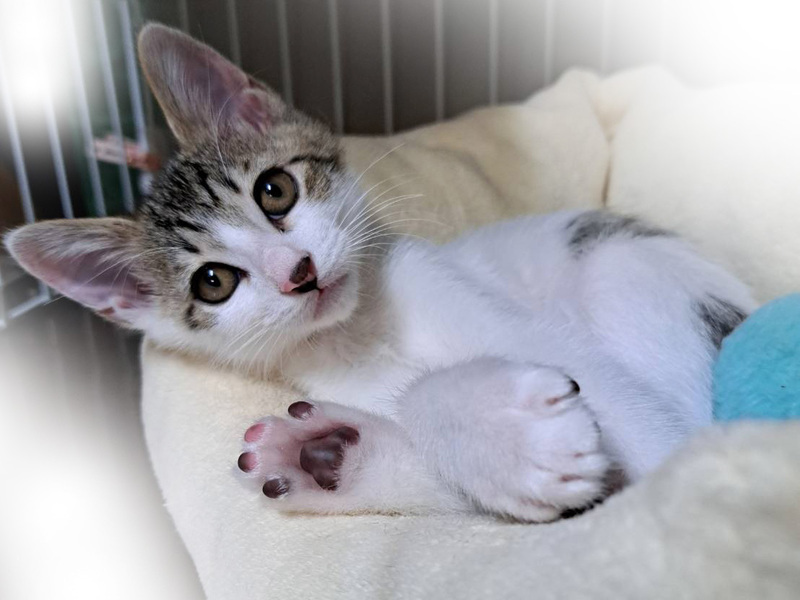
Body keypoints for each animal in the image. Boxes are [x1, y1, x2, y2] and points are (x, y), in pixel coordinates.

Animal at [4, 24, 755, 522]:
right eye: (213, 283)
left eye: (275, 190)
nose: (298, 274)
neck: (364, 329)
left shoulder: (448, 286)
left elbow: (657, 437)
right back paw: (321, 456)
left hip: (622, 271)